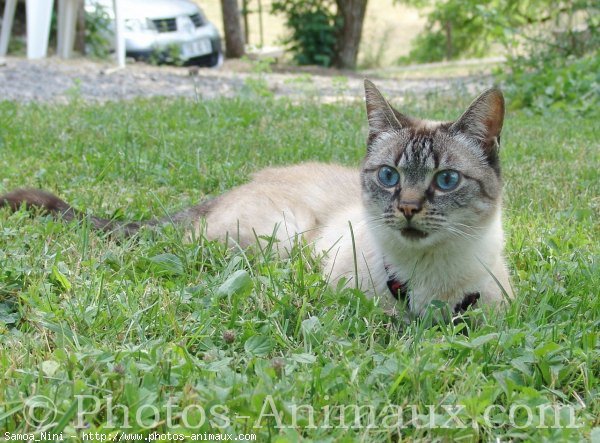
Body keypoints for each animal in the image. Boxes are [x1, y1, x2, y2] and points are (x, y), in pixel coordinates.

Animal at [1, 80, 516, 316]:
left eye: (445, 181)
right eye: (389, 176)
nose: (407, 208)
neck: (428, 280)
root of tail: (230, 190)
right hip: (283, 235)